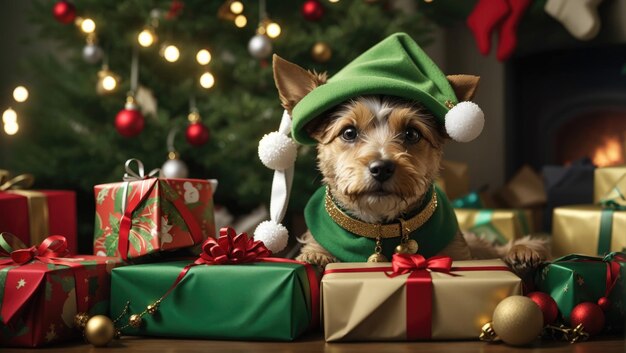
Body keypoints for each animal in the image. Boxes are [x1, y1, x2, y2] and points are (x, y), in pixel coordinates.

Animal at [268, 36, 544, 272]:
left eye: (411, 134)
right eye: (348, 132)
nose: (381, 168)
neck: (380, 228)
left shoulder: (458, 249)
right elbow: (316, 249)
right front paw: (316, 257)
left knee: (490, 247)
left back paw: (523, 250)